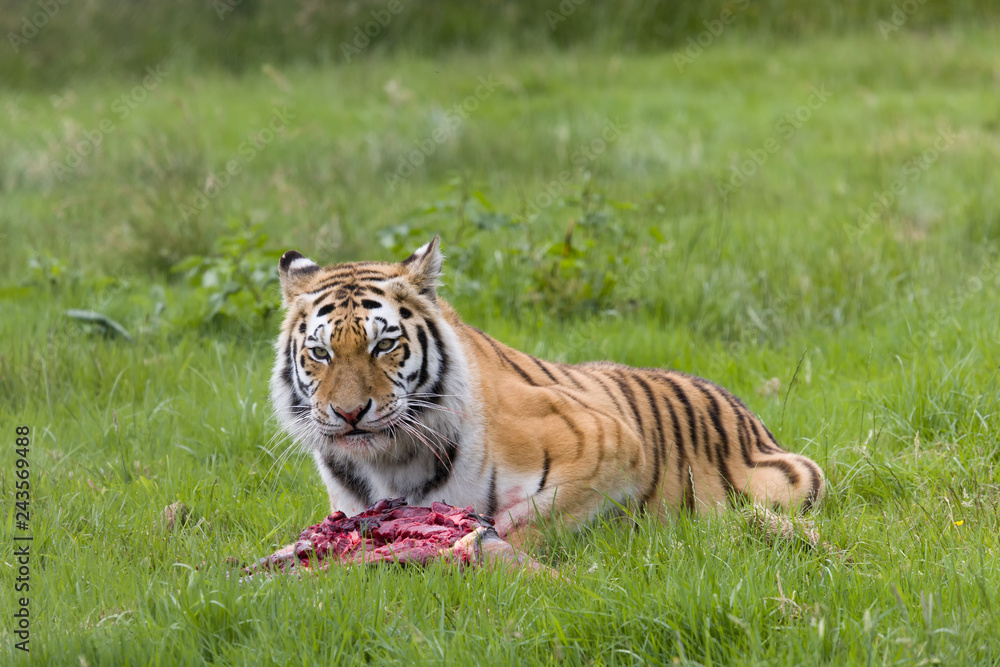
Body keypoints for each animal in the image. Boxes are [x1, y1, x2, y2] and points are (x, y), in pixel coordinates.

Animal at [270, 237, 824, 544]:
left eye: (383, 344)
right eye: (321, 352)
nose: (349, 413)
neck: (388, 463)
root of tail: (749, 413)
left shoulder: (613, 443)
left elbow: (533, 517)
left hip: (795, 482)